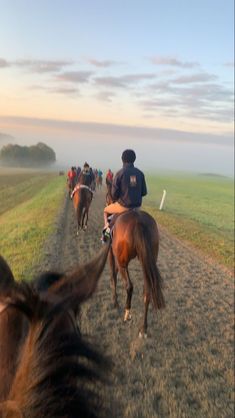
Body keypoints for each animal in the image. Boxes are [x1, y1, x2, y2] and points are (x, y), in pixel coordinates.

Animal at [107, 208, 164, 336]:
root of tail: (139, 222)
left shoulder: (111, 253)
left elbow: (113, 275)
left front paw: (114, 301)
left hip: (122, 262)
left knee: (129, 285)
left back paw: (127, 313)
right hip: (146, 262)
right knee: (147, 291)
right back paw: (144, 328)